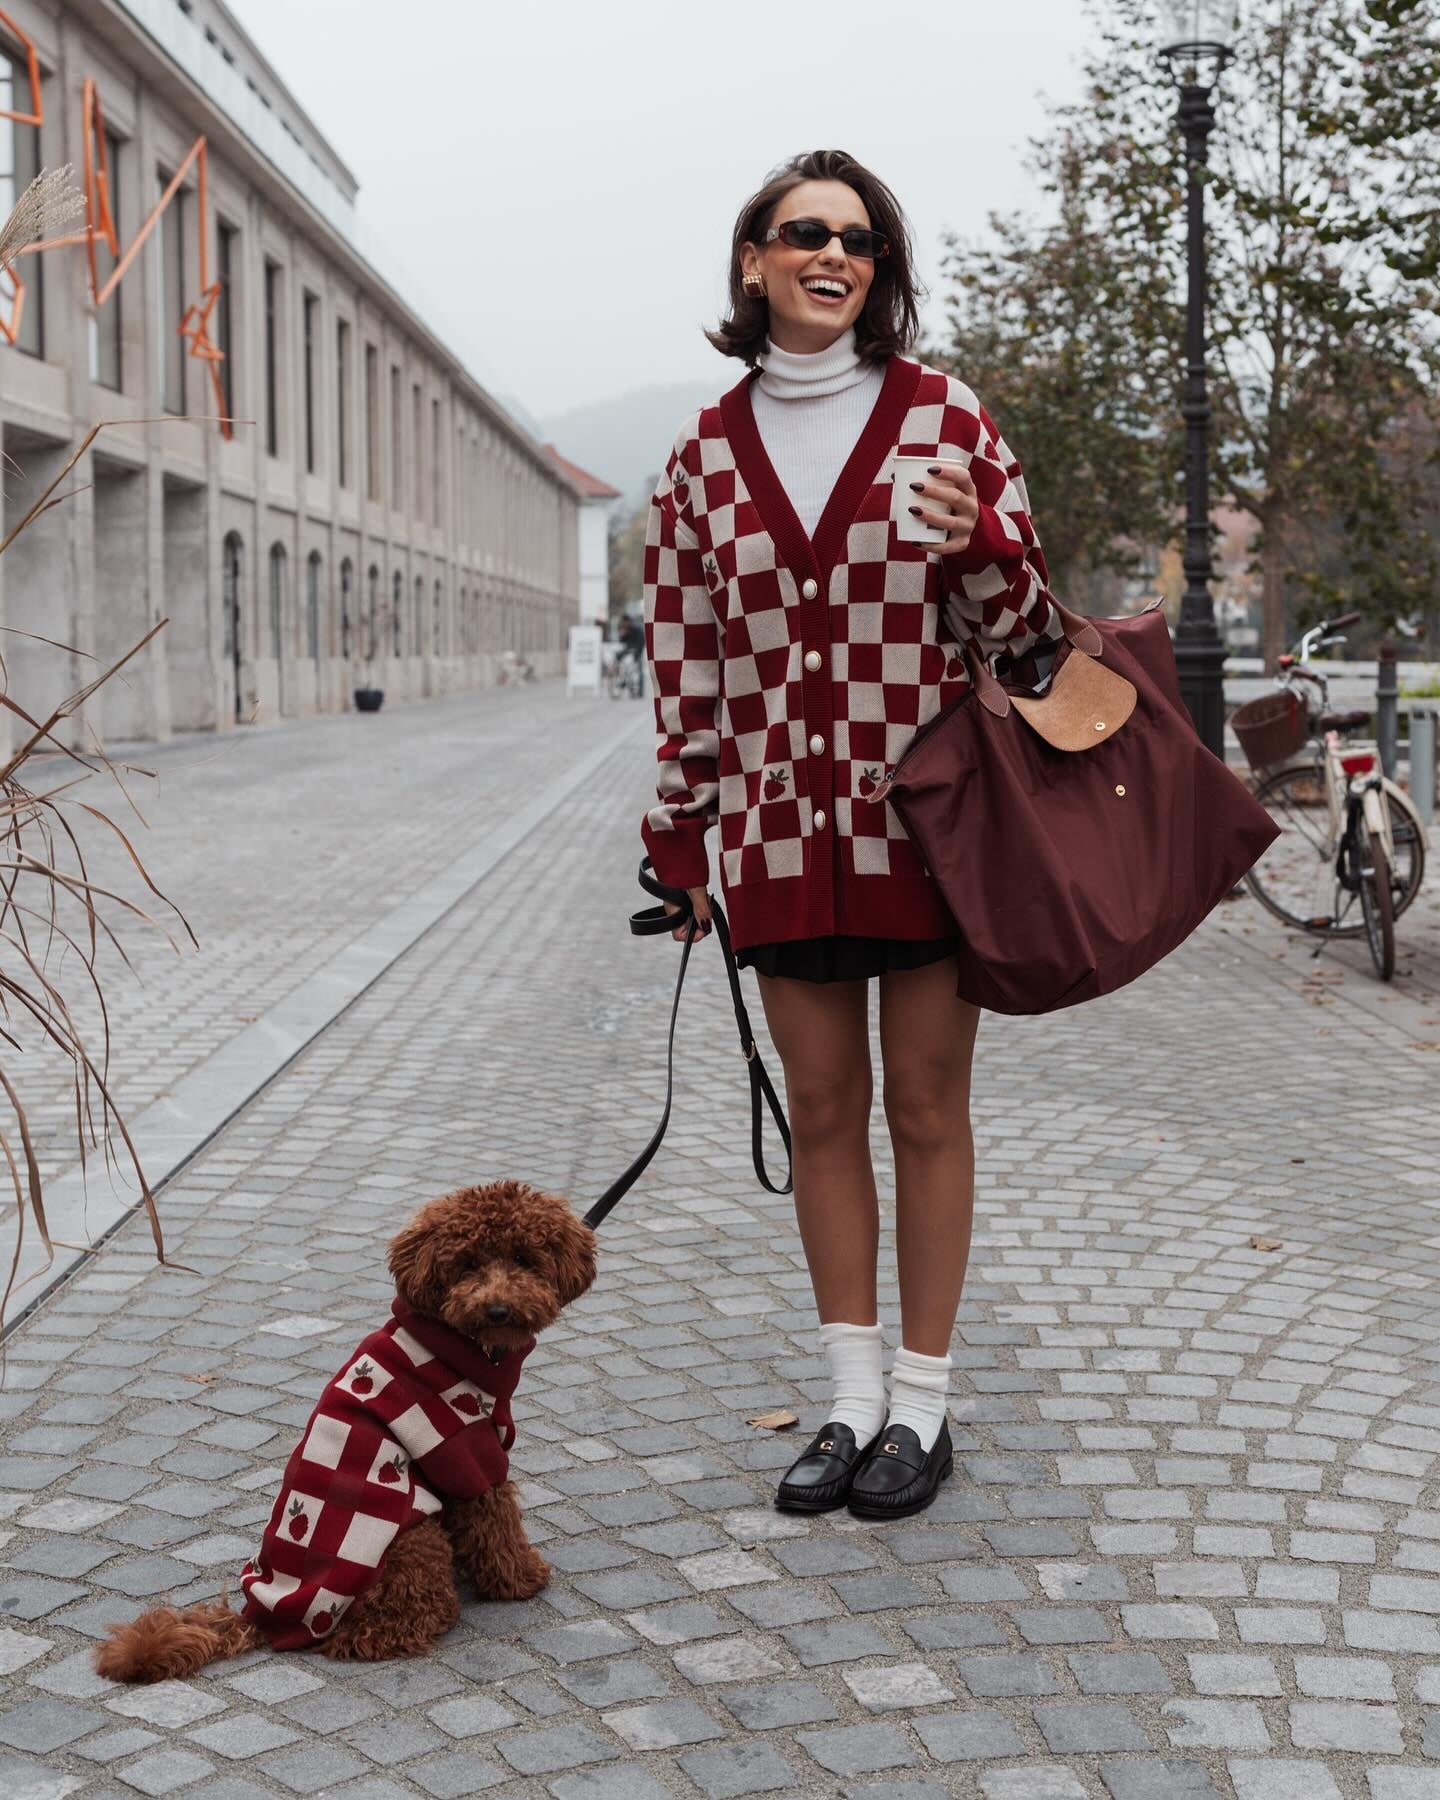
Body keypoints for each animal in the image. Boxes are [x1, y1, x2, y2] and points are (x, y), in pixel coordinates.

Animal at [95, 1188, 594, 1677]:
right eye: (467, 1263)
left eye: (524, 1258)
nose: (497, 1310)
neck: (458, 1346)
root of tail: (258, 1619)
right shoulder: (466, 1452)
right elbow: (498, 1523)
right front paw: (521, 1579)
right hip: (410, 1540)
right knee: (371, 1634)